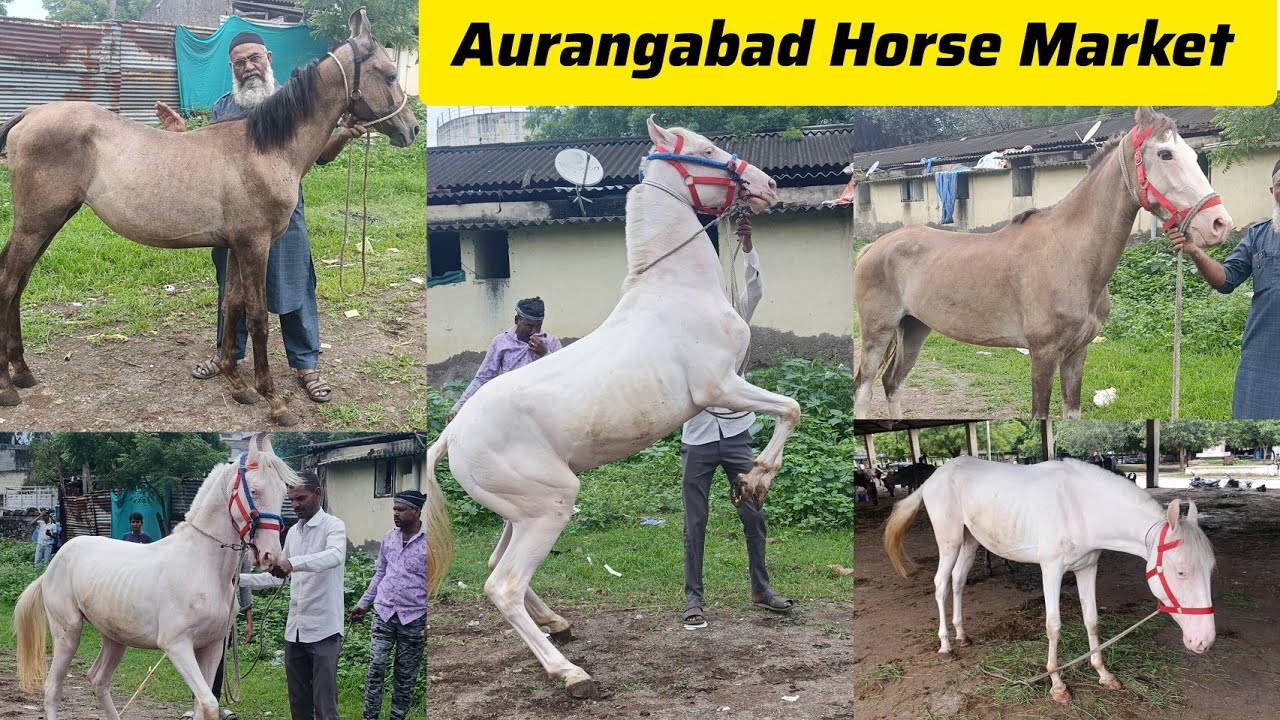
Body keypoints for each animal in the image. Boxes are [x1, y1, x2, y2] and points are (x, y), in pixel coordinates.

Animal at [0, 8, 419, 426]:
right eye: (390, 74)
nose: (411, 129)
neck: (265, 150)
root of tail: (30, 113)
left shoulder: (236, 245)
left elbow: (231, 305)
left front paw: (236, 383)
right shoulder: (255, 245)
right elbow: (258, 317)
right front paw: (273, 399)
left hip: (49, 224)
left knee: (18, 286)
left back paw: (23, 372)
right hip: (36, 225)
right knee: (7, 286)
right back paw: (8, 389)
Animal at [13, 433, 298, 720]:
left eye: (283, 492)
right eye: (255, 490)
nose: (270, 555)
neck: (203, 567)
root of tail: (54, 564)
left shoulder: (212, 646)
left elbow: (203, 705)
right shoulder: (177, 645)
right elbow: (208, 703)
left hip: (115, 637)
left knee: (98, 680)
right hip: (67, 632)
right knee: (53, 688)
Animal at [422, 118, 799, 699]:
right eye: (708, 150)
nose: (768, 185)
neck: (678, 290)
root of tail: (452, 437)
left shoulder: (727, 388)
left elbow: (787, 410)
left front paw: (750, 482)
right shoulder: (720, 388)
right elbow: (790, 409)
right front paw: (756, 479)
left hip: (518, 511)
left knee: (494, 566)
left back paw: (558, 624)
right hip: (549, 505)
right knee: (503, 585)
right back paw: (570, 674)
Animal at [854, 107, 1232, 419]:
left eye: (1193, 155)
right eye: (1165, 153)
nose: (1218, 224)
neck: (1071, 255)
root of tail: (871, 247)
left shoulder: (1077, 353)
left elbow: (1072, 415)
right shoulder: (1043, 354)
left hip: (914, 327)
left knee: (893, 384)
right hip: (878, 331)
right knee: (864, 388)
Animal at [884, 456, 1215, 703]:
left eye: (1211, 570)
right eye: (1181, 572)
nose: (1204, 641)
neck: (1082, 508)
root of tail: (933, 477)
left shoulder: (1087, 567)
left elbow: (1091, 620)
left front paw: (1104, 675)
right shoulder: (1051, 570)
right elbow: (1053, 625)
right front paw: (1057, 684)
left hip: (969, 542)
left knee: (957, 582)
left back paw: (962, 636)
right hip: (949, 540)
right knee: (941, 585)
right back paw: (945, 646)